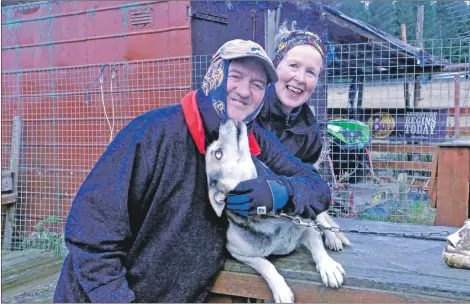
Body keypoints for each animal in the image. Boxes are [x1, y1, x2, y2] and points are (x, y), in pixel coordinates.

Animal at [207, 120, 346, 302]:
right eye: (218, 154)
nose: (225, 121)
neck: (273, 218)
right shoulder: (237, 252)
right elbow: (266, 265)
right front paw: (281, 290)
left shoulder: (307, 229)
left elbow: (318, 246)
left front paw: (328, 266)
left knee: (322, 221)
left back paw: (333, 239)